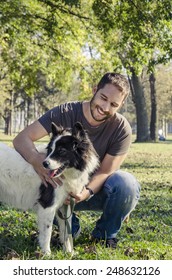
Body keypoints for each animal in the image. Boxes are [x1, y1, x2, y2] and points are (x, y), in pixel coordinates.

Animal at [0, 122, 99, 254]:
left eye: (62, 151)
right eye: (51, 150)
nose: (44, 164)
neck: (66, 175)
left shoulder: (65, 205)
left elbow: (66, 232)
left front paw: (69, 253)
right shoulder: (47, 206)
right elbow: (47, 232)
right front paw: (47, 253)